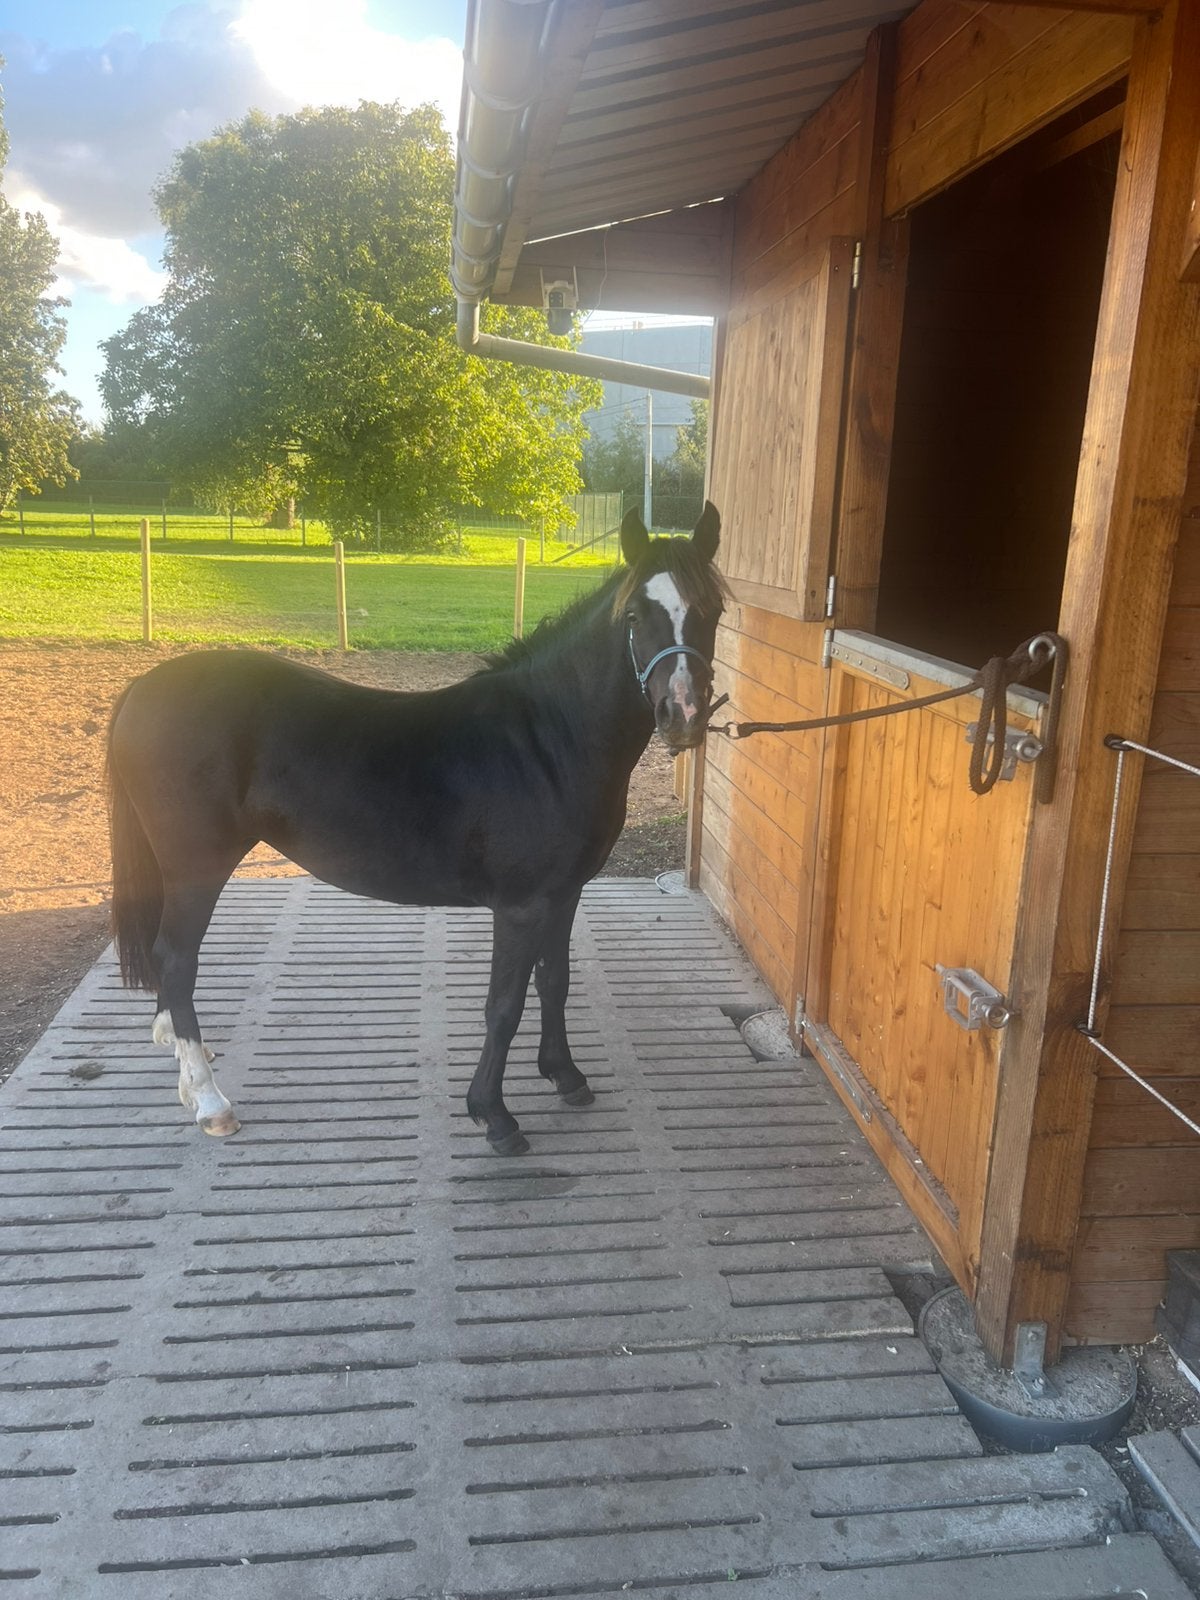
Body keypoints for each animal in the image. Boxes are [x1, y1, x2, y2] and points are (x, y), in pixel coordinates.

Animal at [106, 503, 725, 1155]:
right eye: (635, 615)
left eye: (712, 610)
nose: (682, 717)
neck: (548, 740)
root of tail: (144, 687)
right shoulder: (522, 906)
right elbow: (503, 1005)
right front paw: (493, 1115)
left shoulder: (565, 894)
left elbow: (553, 981)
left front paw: (565, 1075)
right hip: (196, 868)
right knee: (177, 962)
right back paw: (209, 1101)